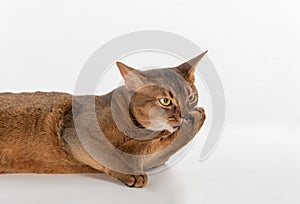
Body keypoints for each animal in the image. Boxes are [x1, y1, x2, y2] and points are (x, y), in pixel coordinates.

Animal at [0, 51, 206, 188]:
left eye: (190, 98)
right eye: (165, 101)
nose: (185, 114)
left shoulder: (147, 158)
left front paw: (195, 119)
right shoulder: (75, 131)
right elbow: (108, 153)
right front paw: (131, 174)